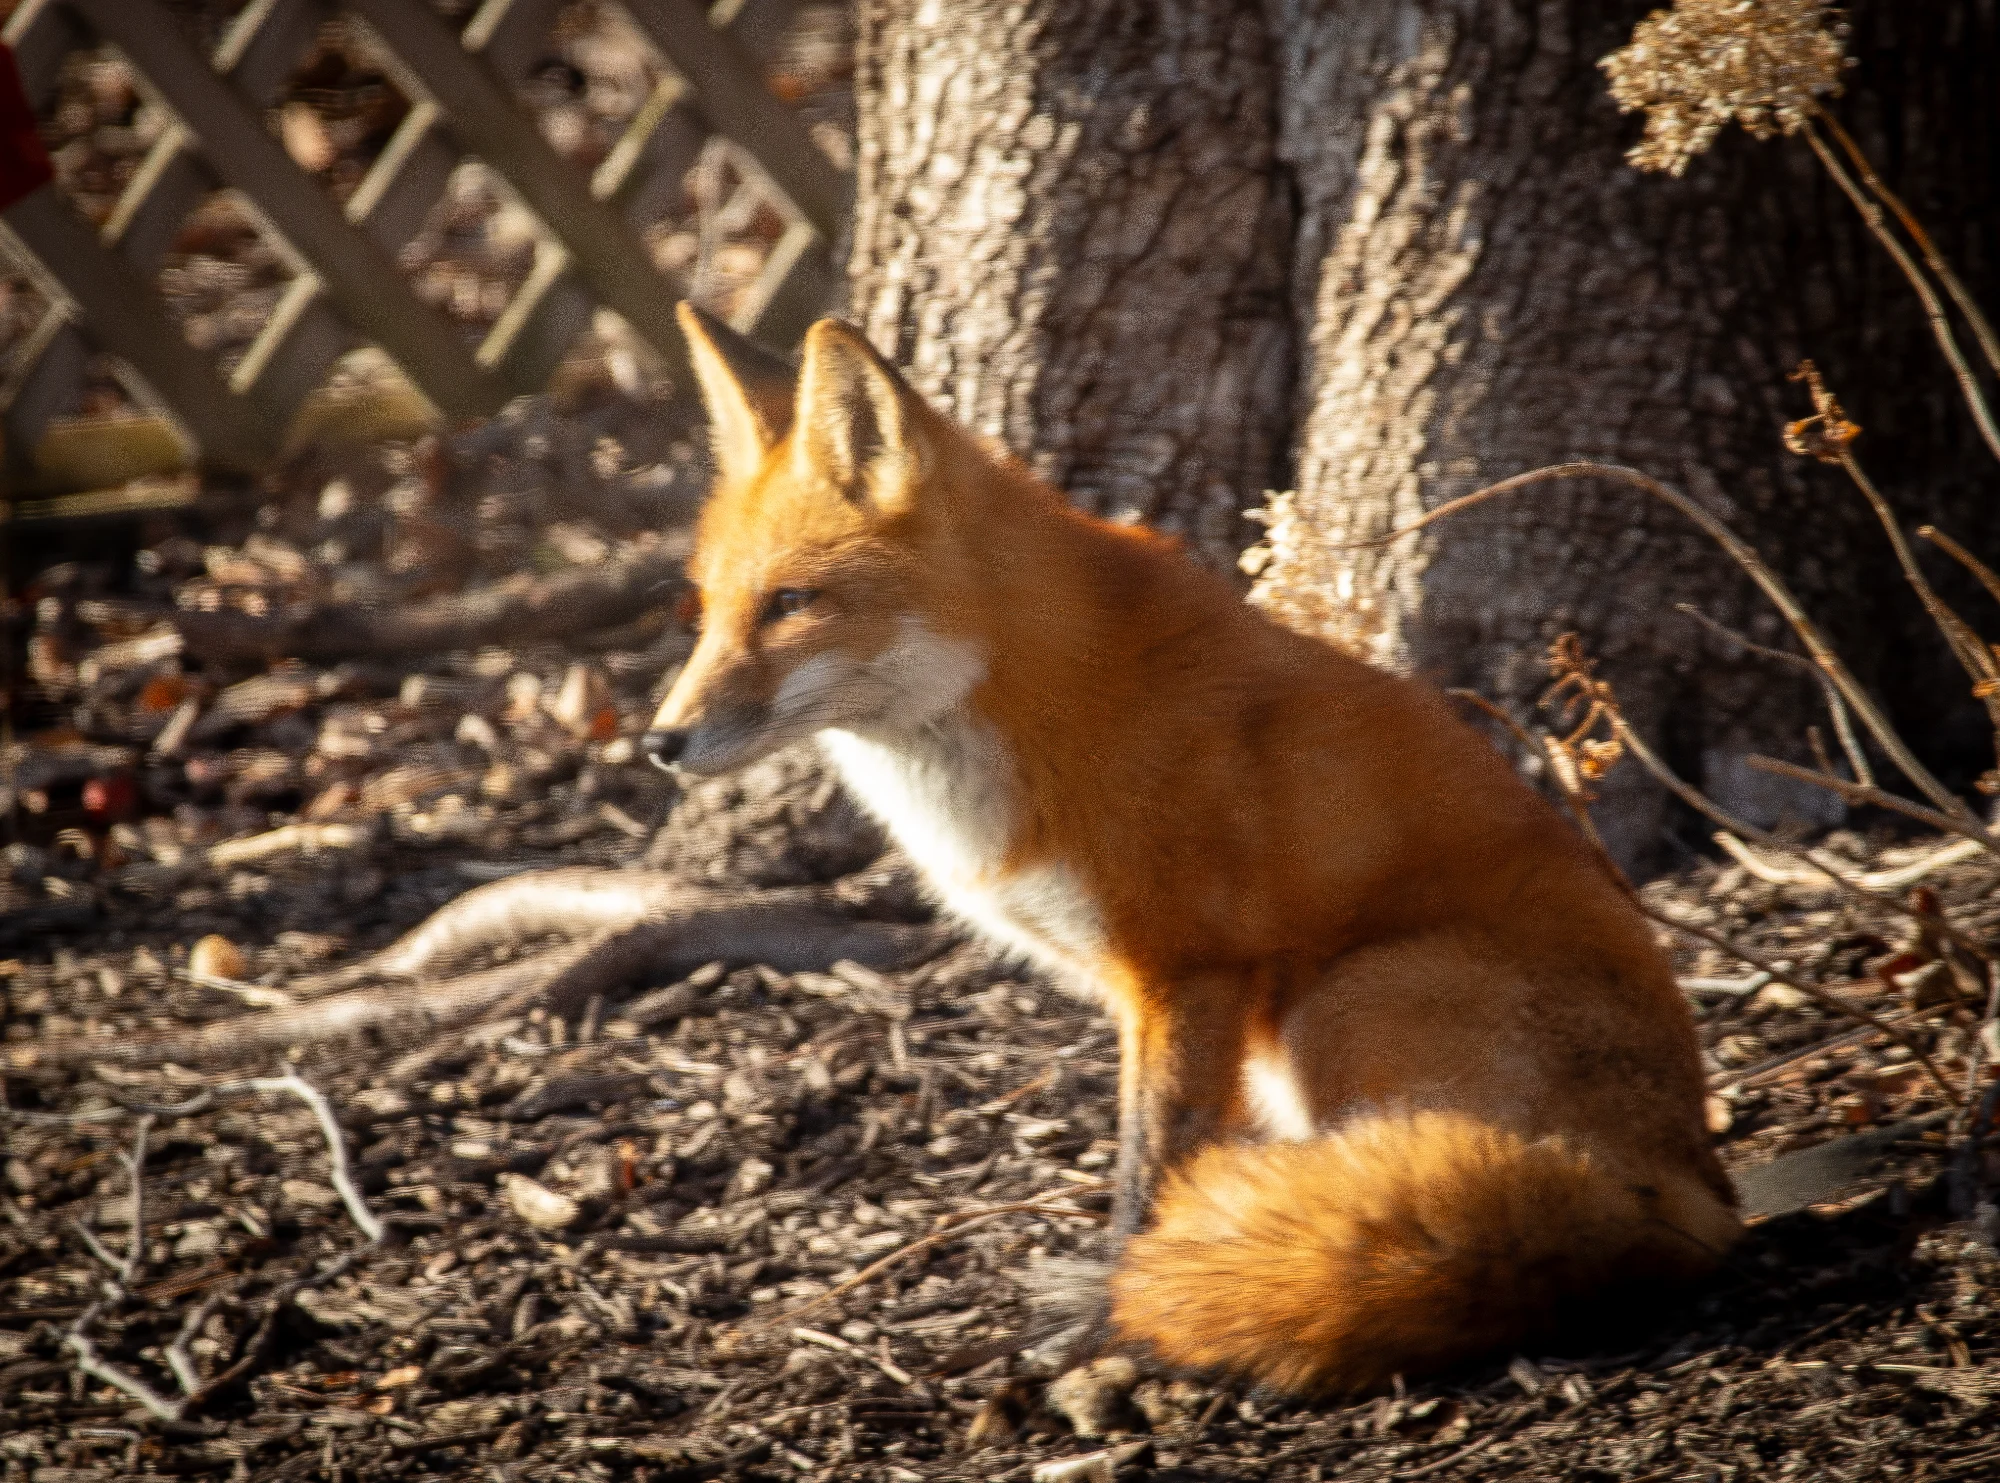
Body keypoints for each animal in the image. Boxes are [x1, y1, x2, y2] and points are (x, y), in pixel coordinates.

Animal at [644, 302, 1744, 1394]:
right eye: (705, 610)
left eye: (790, 603)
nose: (660, 741)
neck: (1034, 701)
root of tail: (1688, 1187)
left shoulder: (1185, 968)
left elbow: (1152, 1168)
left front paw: (1117, 1309)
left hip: (1342, 1000)